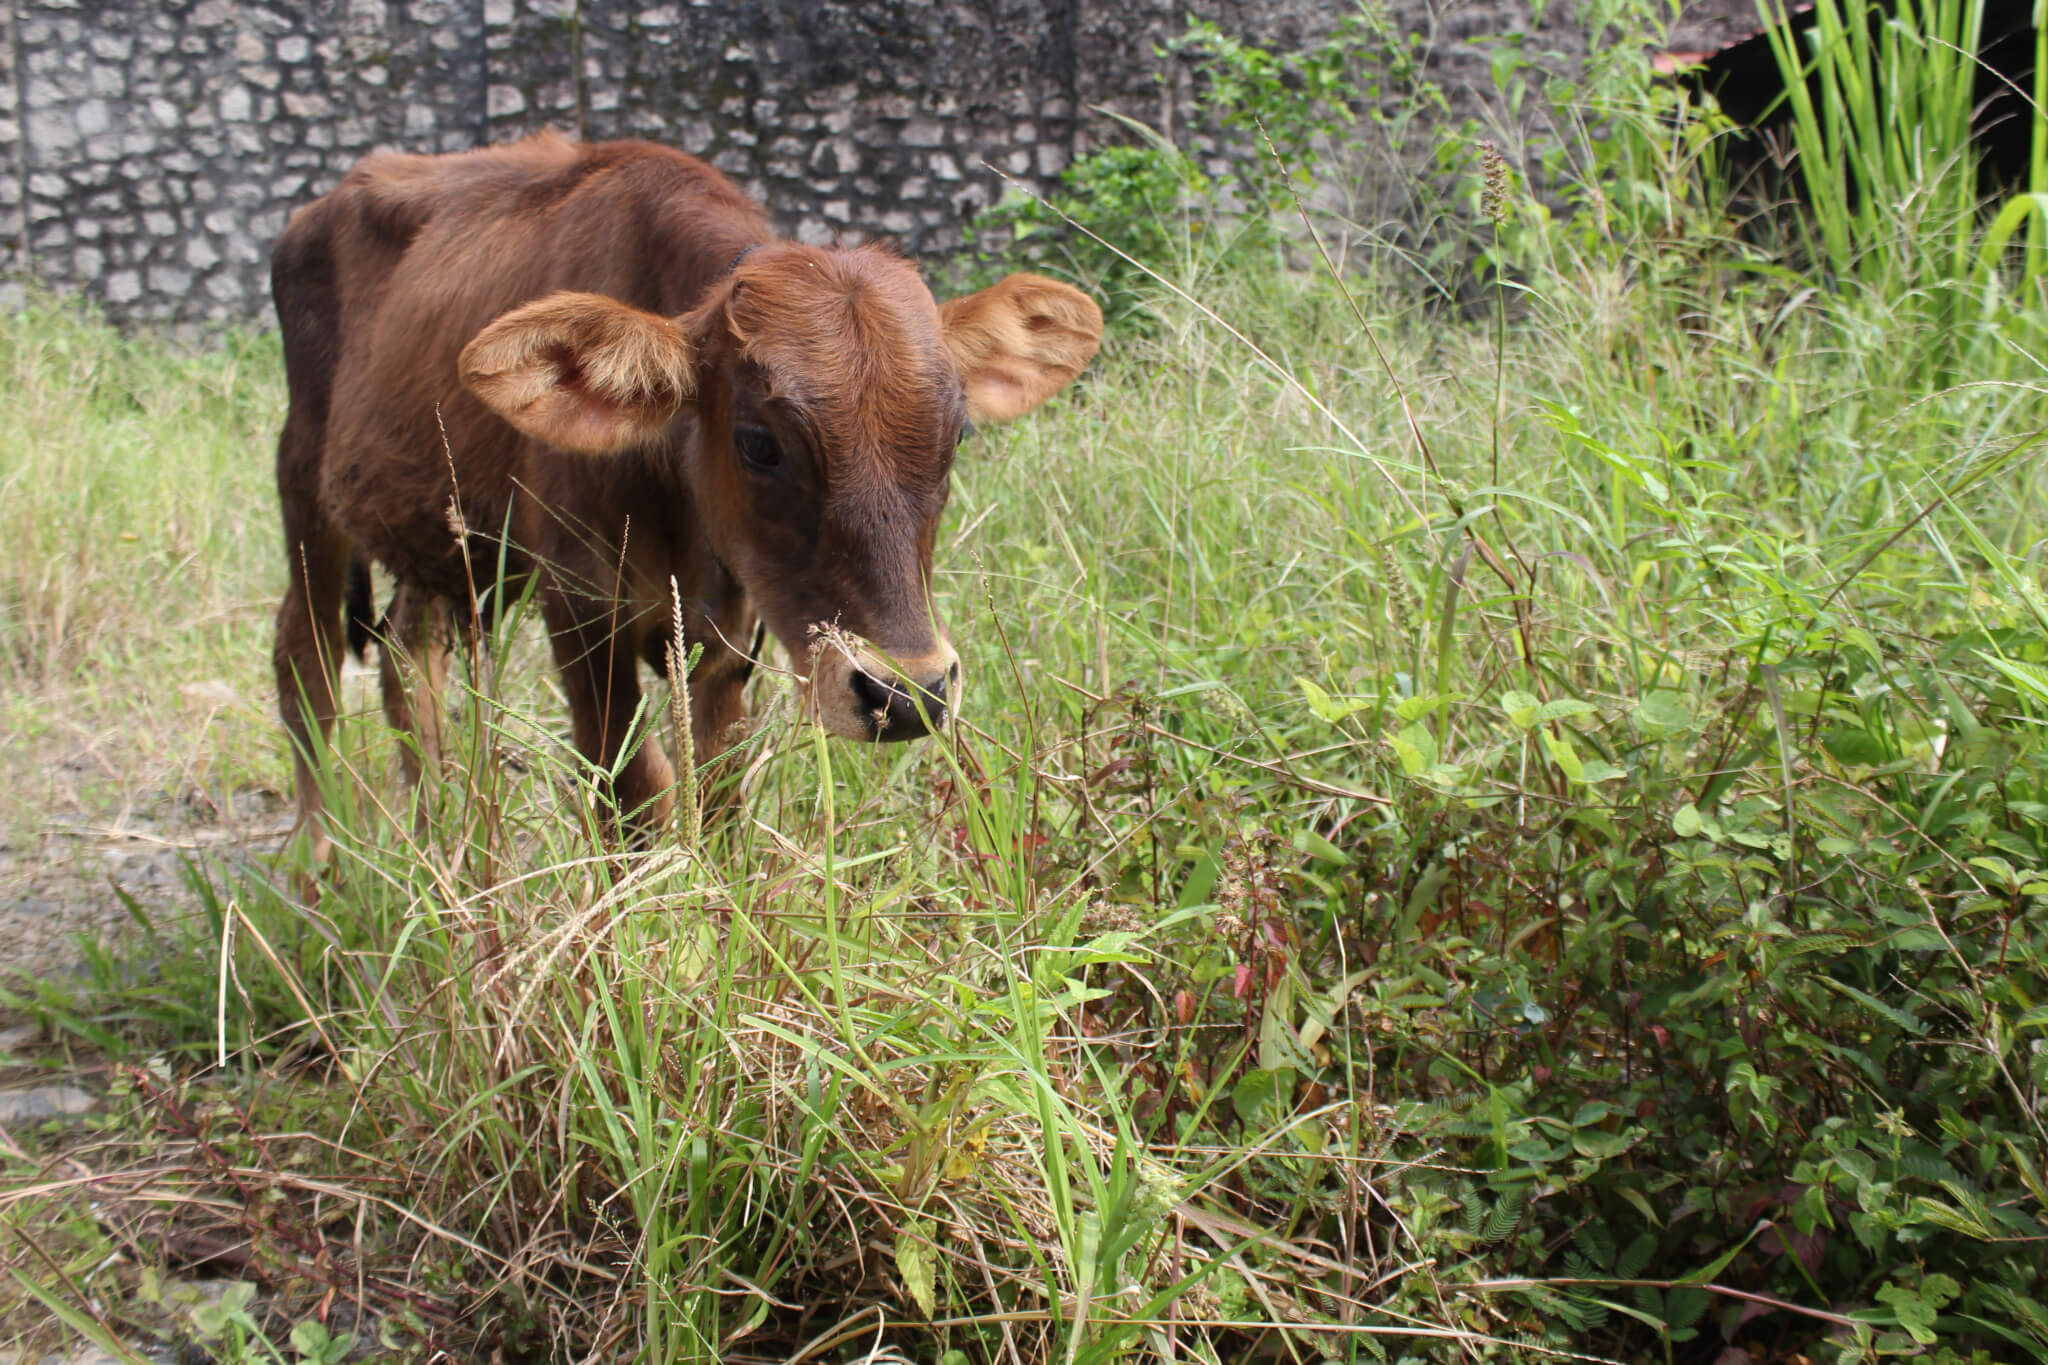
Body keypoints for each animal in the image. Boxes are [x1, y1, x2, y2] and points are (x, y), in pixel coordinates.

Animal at [276, 133, 1105, 847]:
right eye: (758, 442)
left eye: (958, 433)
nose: (907, 695)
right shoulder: (580, 601)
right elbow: (637, 791)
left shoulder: (734, 625)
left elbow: (721, 789)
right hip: (304, 480)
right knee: (306, 660)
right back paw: (321, 866)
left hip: (454, 543)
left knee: (409, 655)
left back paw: (441, 830)